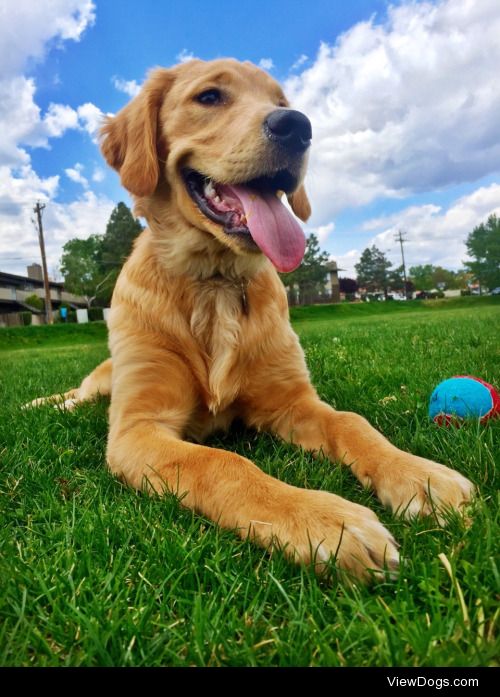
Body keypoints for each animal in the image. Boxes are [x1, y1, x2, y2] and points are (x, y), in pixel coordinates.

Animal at [33, 59, 474, 580]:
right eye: (208, 97)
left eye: (281, 103)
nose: (297, 126)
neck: (216, 281)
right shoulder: (137, 426)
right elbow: (222, 463)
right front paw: (325, 522)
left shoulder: (292, 402)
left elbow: (352, 422)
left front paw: (420, 475)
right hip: (103, 383)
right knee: (75, 395)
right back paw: (41, 404)